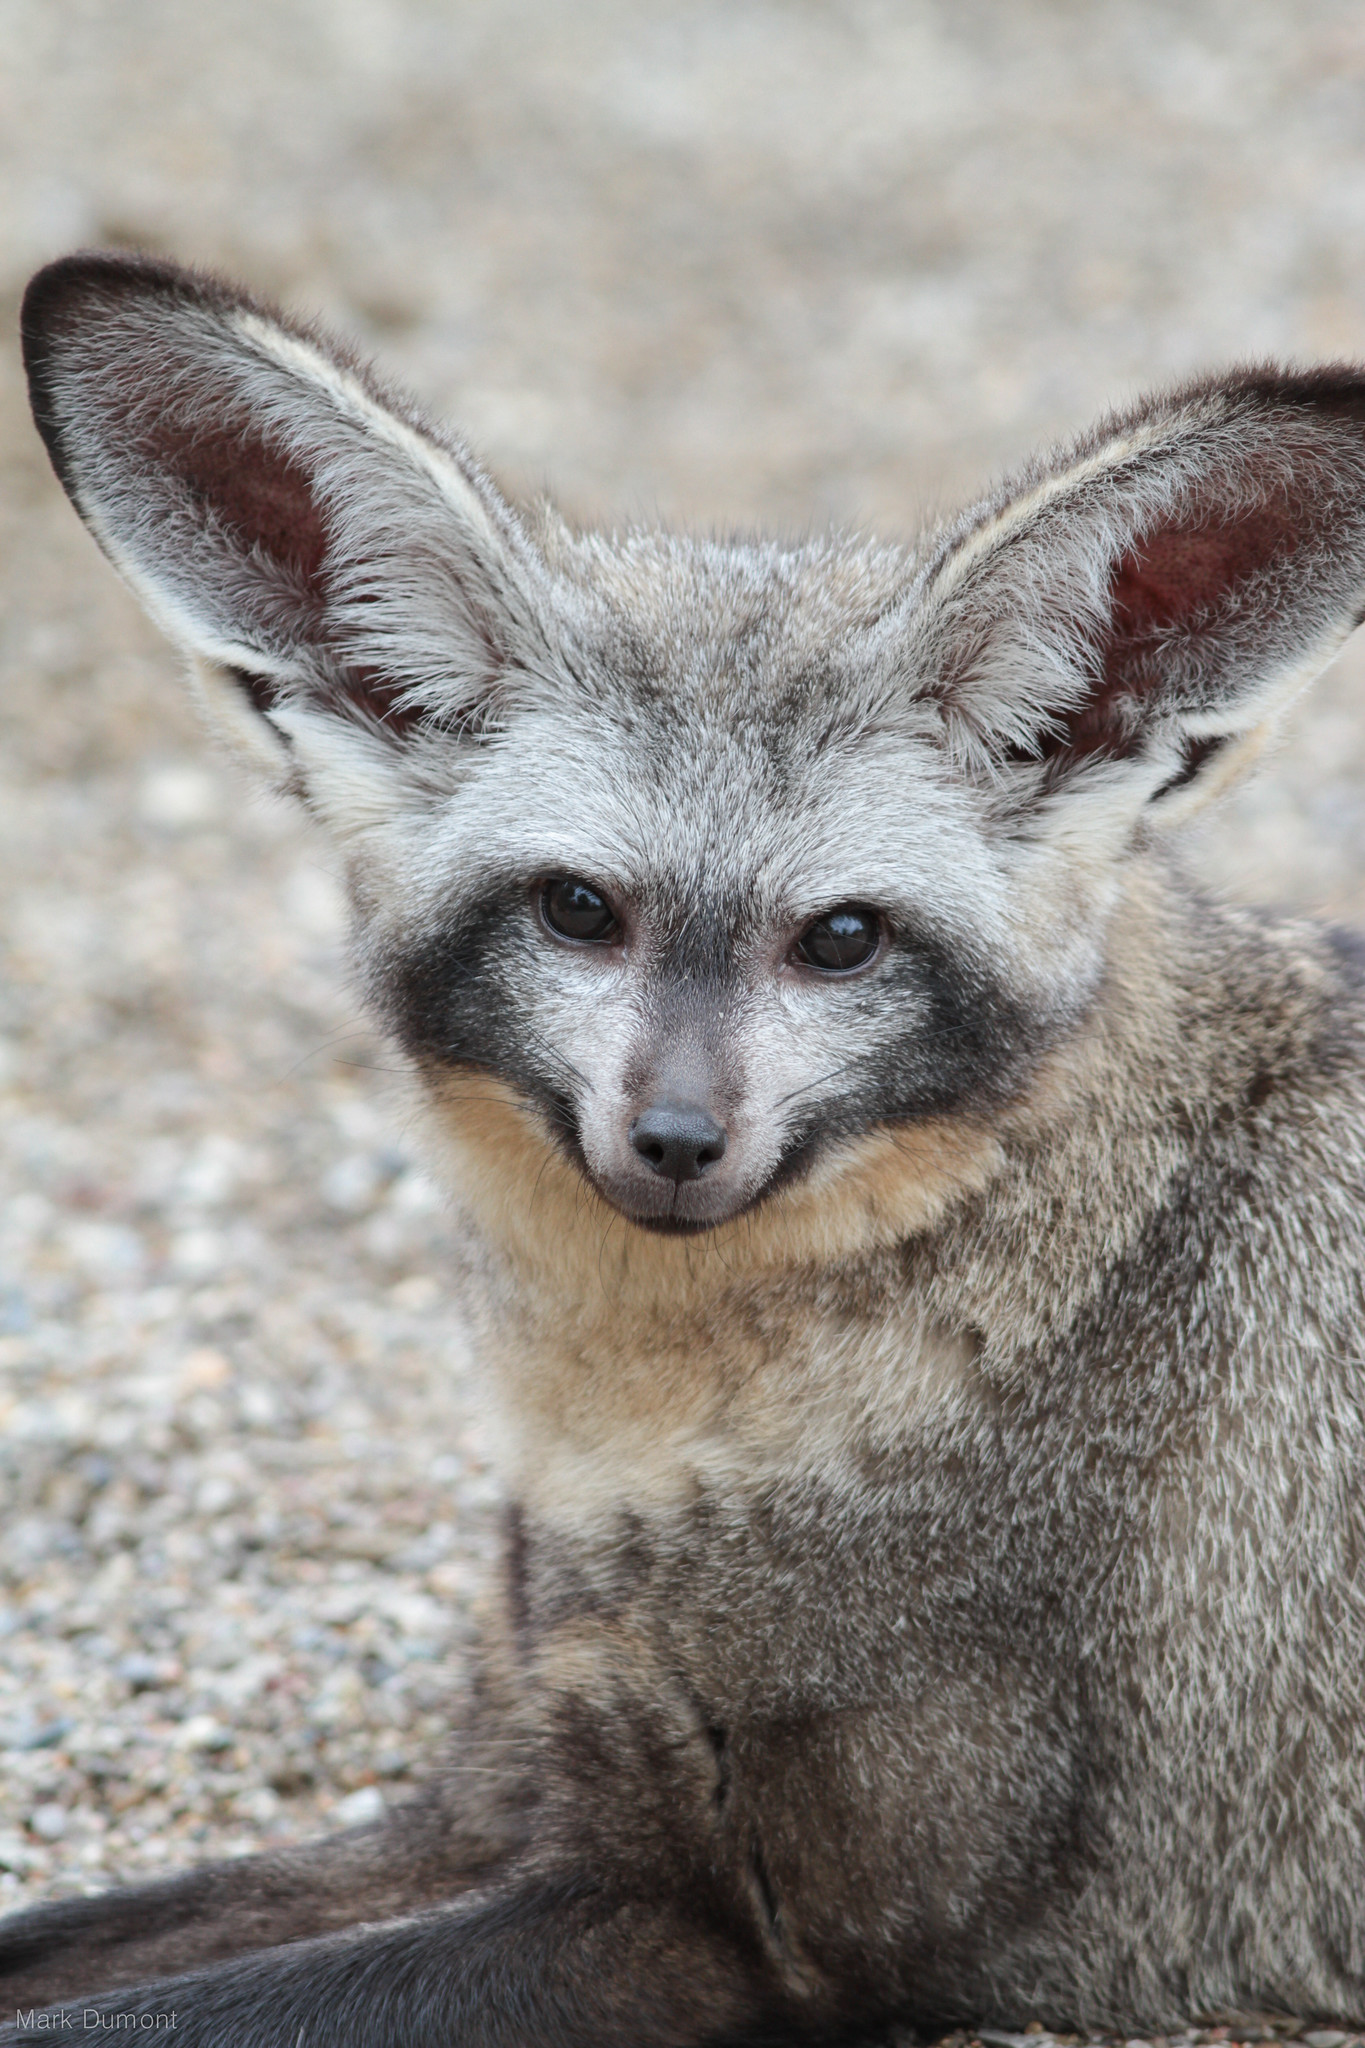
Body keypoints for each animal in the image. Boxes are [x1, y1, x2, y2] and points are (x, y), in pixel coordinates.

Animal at [3, 250, 1365, 2047]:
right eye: (579, 911)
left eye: (842, 940)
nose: (674, 1141)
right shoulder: (505, 1796)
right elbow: (67, 1947)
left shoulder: (751, 1933)